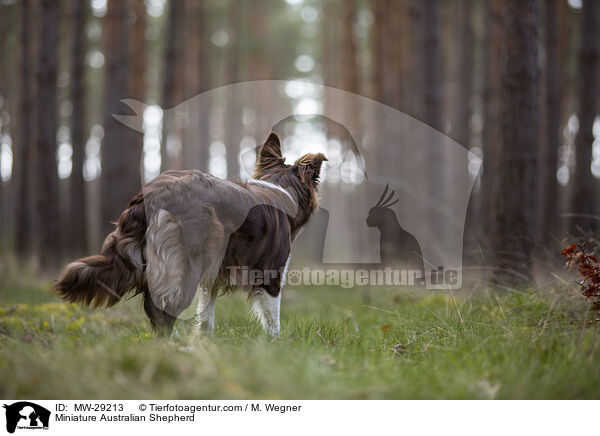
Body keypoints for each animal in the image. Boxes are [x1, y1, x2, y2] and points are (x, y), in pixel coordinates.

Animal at [55, 133, 328, 338]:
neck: (280, 190)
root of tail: (154, 192)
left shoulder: (213, 277)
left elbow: (206, 315)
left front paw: (204, 342)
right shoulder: (271, 272)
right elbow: (273, 318)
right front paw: (275, 345)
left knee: (156, 307)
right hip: (187, 263)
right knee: (162, 309)